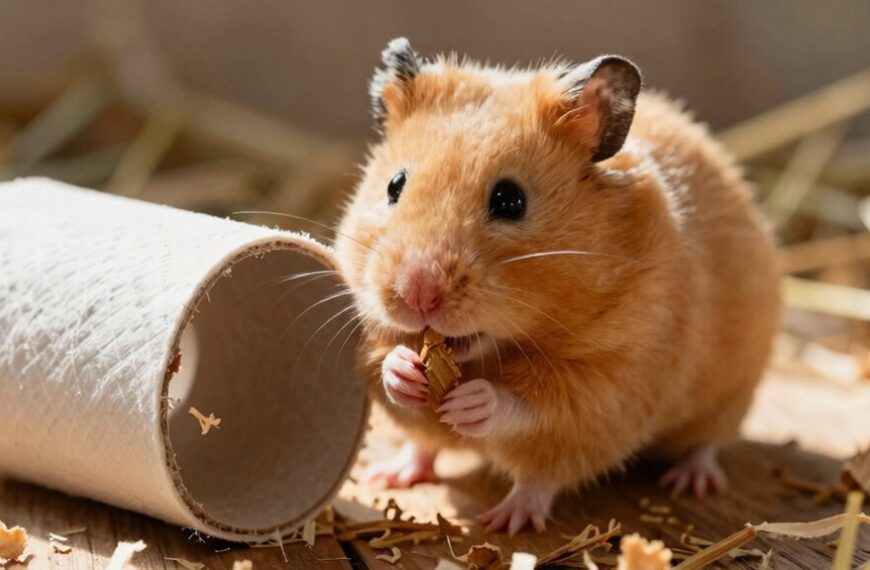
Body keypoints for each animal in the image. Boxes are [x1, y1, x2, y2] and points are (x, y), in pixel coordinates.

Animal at [334, 38, 779, 535]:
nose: (417, 295)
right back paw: (390, 475)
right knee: (423, 448)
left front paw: (474, 402)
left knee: (696, 444)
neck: (496, 350)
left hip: (730, 393)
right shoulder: (369, 336)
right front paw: (405, 370)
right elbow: (390, 372)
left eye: (510, 200)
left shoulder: (610, 383)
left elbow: (531, 409)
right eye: (394, 185)